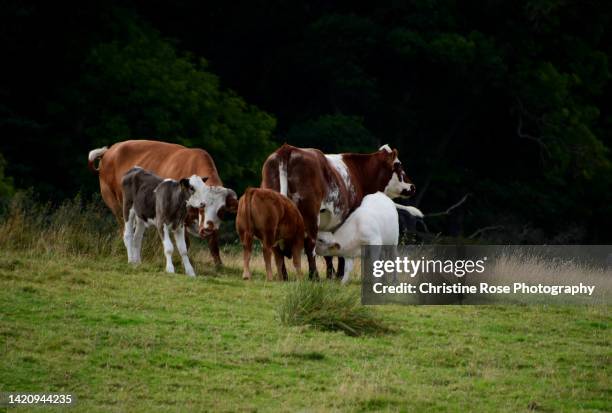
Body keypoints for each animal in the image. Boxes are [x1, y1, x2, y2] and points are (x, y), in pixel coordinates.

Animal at [88, 140, 237, 266]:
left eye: (222, 210)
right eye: (203, 206)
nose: (207, 229)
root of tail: (110, 150)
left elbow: (213, 243)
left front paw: (219, 265)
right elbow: (186, 244)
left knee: (137, 236)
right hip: (117, 206)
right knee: (125, 231)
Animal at [260, 144, 418, 276]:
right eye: (398, 166)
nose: (412, 186)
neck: (358, 172)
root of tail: (287, 148)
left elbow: (328, 250)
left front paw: (331, 275)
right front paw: (339, 274)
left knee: (275, 246)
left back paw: (284, 277)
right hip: (310, 215)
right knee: (309, 244)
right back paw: (314, 276)